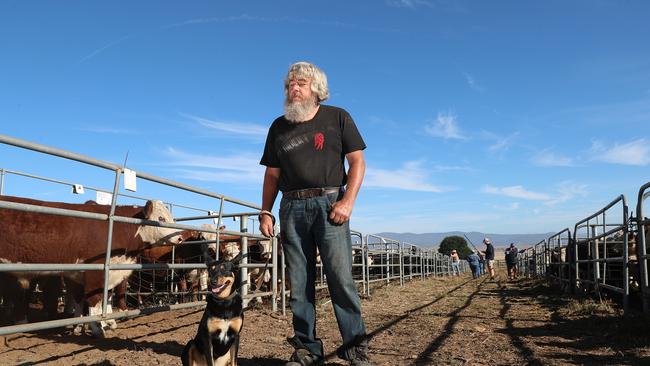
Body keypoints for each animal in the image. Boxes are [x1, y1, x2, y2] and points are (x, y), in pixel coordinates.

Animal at [0, 196, 187, 336]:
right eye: (161, 218)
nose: (180, 238)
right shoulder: (94, 271)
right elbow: (95, 300)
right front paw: (99, 327)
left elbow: (102, 297)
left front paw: (100, 323)